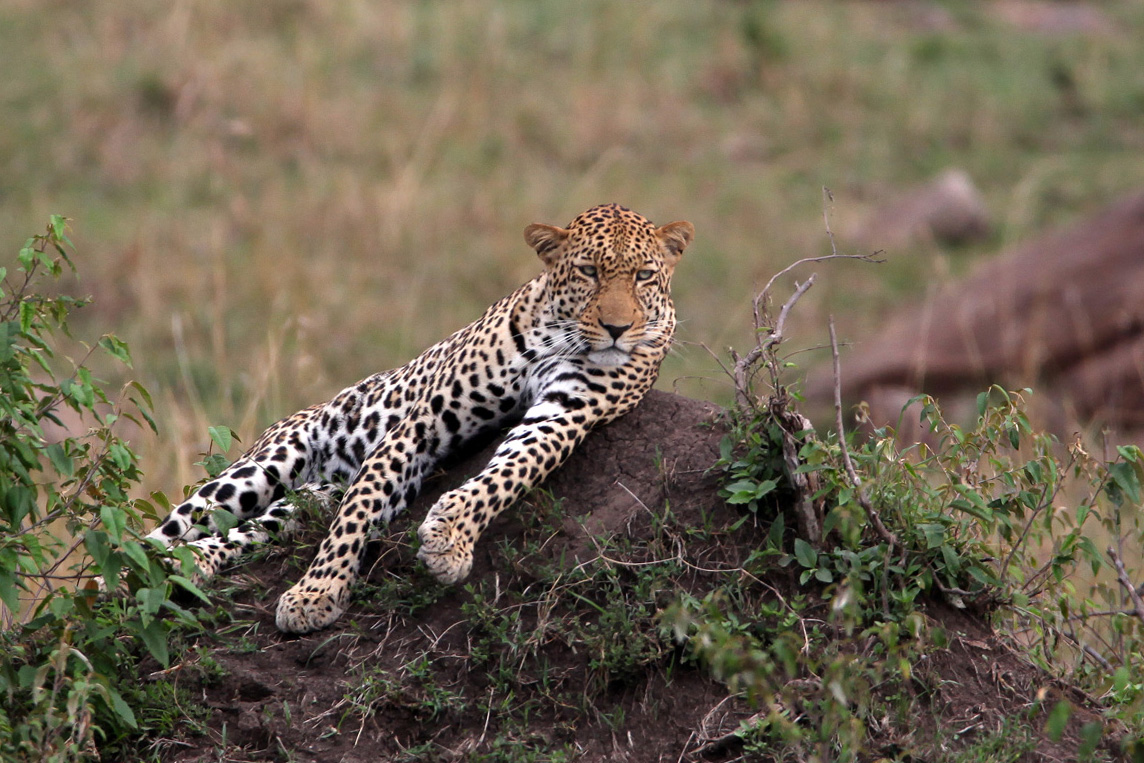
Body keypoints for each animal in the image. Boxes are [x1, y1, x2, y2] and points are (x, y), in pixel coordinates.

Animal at [147, 201, 690, 631]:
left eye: (643, 276)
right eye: (589, 272)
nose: (618, 328)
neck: (557, 336)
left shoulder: (562, 416)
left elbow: (507, 473)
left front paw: (449, 542)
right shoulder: (422, 424)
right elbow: (359, 512)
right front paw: (317, 593)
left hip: (306, 500)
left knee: (245, 531)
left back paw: (193, 564)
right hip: (262, 467)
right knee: (162, 533)